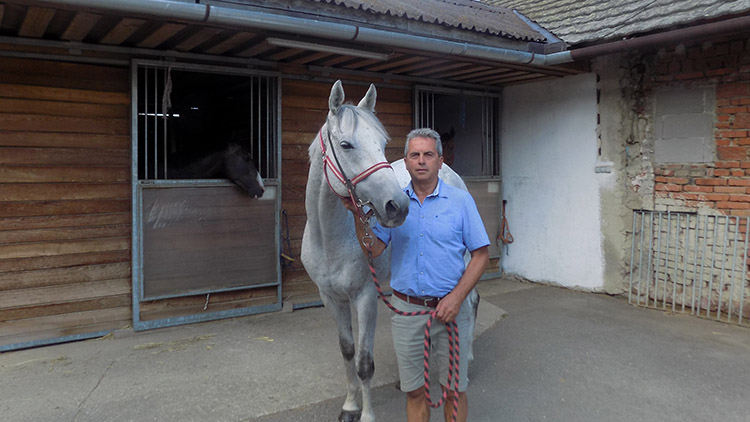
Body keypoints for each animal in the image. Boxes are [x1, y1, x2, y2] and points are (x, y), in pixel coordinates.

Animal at [302, 81, 412, 420]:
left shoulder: (365, 296)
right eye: (346, 145)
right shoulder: (330, 298)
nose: (397, 206)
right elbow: (348, 351)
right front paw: (350, 406)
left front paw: (367, 414)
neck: (329, 239)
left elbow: (365, 363)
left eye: (382, 143)